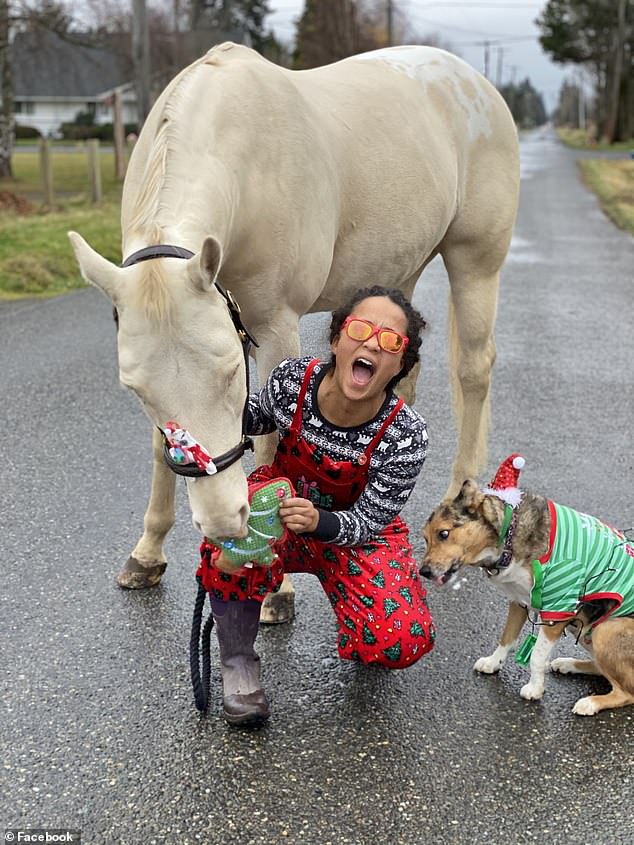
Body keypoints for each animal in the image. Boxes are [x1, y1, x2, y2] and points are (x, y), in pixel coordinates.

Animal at [68, 41, 520, 620]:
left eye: (229, 374)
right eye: (135, 389)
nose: (223, 521)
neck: (242, 163)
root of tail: (472, 79)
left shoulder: (274, 327)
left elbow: (267, 446)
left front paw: (273, 585)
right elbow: (159, 450)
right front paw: (147, 553)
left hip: (475, 262)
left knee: (473, 371)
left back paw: (456, 497)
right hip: (401, 270)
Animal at [420, 458, 632, 716]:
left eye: (444, 533)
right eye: (425, 538)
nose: (423, 572)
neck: (508, 536)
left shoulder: (558, 609)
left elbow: (537, 656)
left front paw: (535, 689)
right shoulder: (518, 601)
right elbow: (506, 638)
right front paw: (493, 662)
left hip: (607, 629)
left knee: (626, 691)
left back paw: (591, 702)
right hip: (584, 626)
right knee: (604, 671)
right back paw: (568, 664)